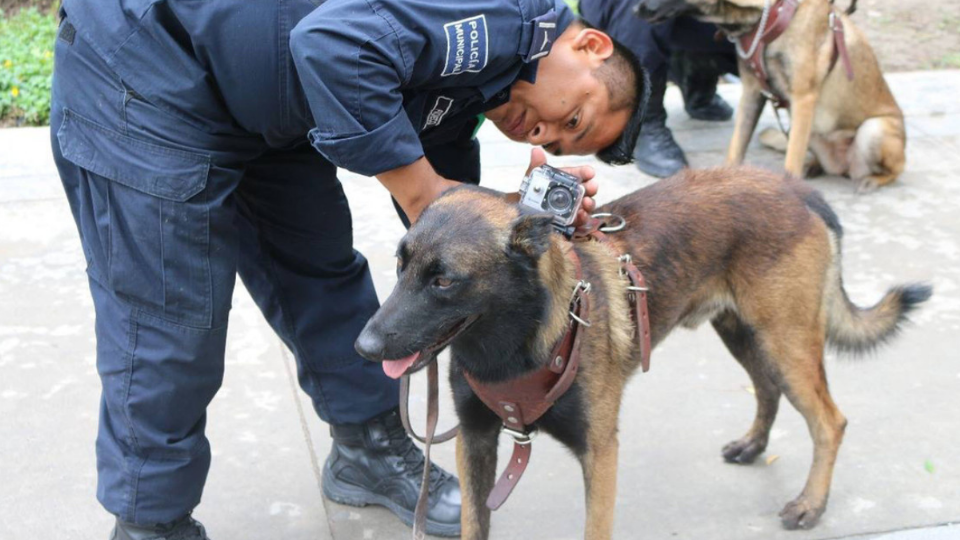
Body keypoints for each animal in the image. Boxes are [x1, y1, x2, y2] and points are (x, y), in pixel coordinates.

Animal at [352, 167, 928, 536]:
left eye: (444, 281)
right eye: (400, 265)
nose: (363, 347)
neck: (515, 343)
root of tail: (798, 187)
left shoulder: (600, 453)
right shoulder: (476, 442)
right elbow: (476, 524)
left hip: (785, 338)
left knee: (829, 421)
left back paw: (811, 504)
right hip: (743, 332)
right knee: (767, 387)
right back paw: (753, 445)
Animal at [636, 0, 908, 191]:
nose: (635, 10)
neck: (770, 15)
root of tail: (843, 165)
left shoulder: (802, 99)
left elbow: (791, 160)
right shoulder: (752, 92)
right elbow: (736, 149)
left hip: (874, 129)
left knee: (895, 169)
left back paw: (872, 180)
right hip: (813, 132)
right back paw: (814, 165)